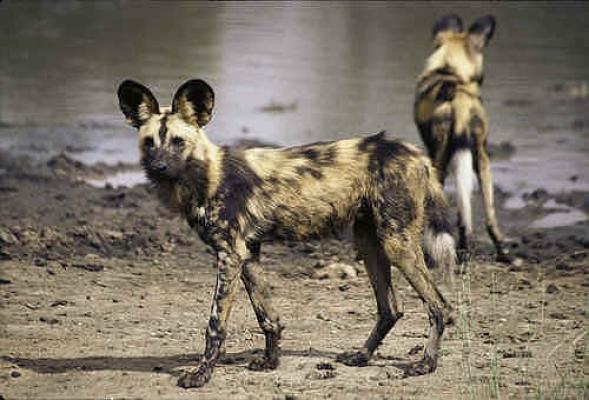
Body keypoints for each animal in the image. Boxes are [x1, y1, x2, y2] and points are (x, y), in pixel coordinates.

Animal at [116, 78, 454, 388]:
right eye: (149, 142)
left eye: (177, 141)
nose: (158, 167)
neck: (206, 178)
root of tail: (415, 152)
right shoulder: (248, 255)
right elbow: (268, 317)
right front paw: (270, 361)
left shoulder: (229, 256)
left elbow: (215, 325)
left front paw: (201, 374)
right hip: (370, 244)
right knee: (390, 309)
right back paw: (361, 356)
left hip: (396, 244)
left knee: (441, 306)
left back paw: (426, 364)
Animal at [414, 15, 516, 264]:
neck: (451, 71)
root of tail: (458, 94)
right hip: (482, 160)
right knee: (486, 215)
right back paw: (497, 251)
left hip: (439, 162)